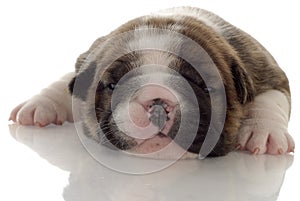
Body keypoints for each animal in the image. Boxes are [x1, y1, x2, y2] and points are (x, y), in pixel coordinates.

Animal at [8, 6, 292, 158]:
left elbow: (272, 99)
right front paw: (41, 103)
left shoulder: (265, 68)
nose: (157, 101)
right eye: (113, 85)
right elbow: (69, 81)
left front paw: (264, 132)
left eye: (202, 85)